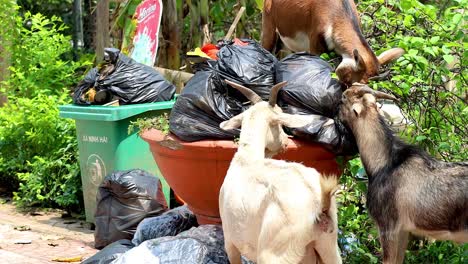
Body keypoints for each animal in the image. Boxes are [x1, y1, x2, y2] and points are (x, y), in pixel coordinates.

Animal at [218, 80, 342, 264]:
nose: (285, 142)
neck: (247, 159)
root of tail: (319, 203)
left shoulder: (230, 240)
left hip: (274, 253)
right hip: (328, 247)